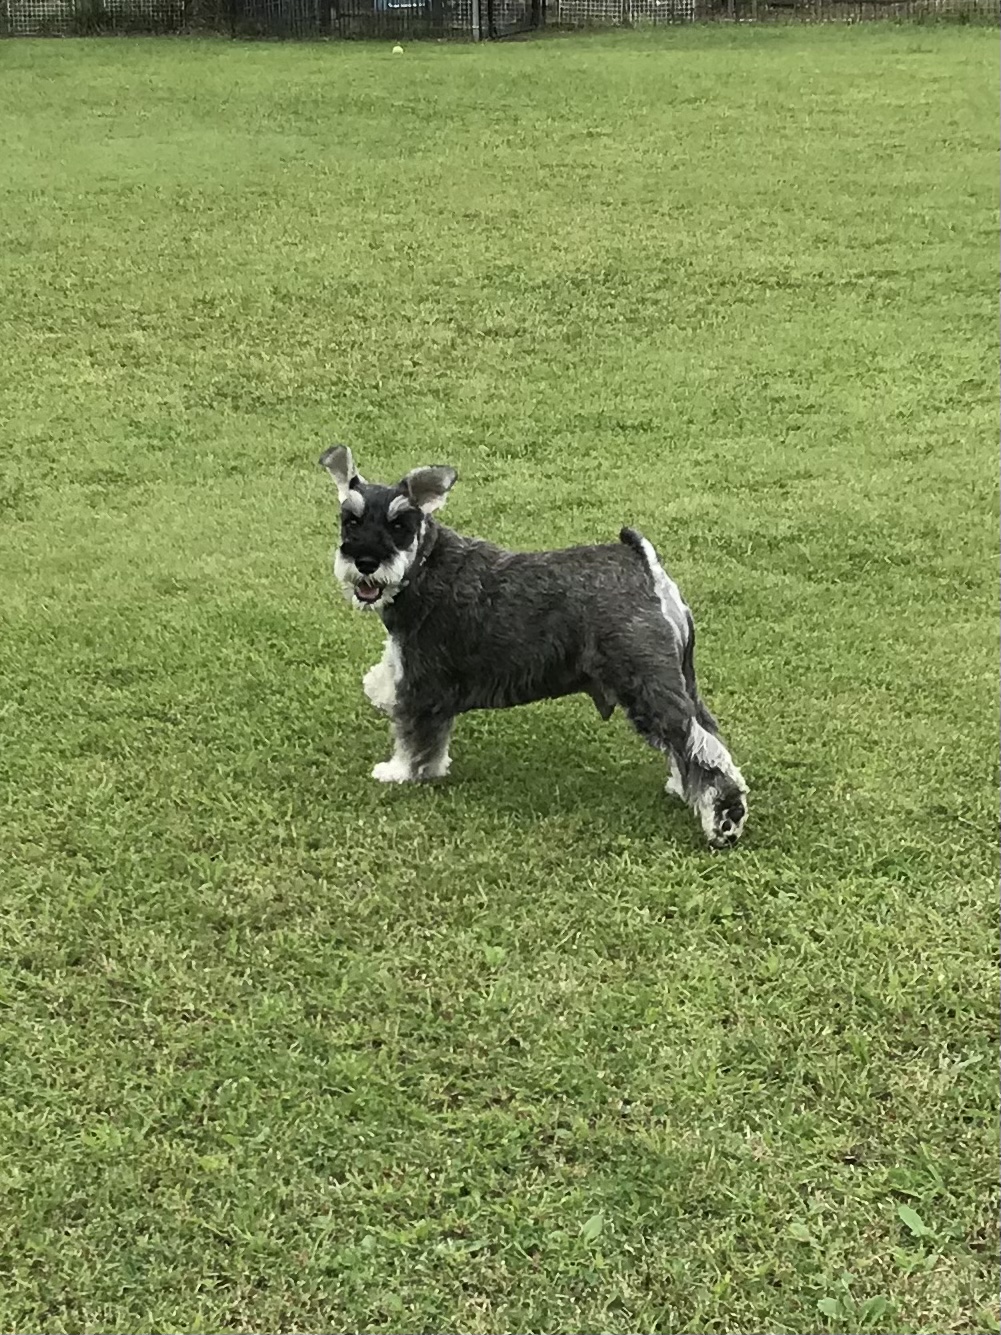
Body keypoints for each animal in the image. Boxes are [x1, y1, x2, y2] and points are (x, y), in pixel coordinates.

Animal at [319, 445, 748, 849]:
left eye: (399, 524)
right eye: (351, 519)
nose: (366, 562)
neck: (423, 567)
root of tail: (644, 563)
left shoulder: (421, 684)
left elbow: (414, 735)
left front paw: (400, 772)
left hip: (645, 682)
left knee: (699, 747)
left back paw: (725, 822)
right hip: (678, 679)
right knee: (704, 736)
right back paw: (684, 788)